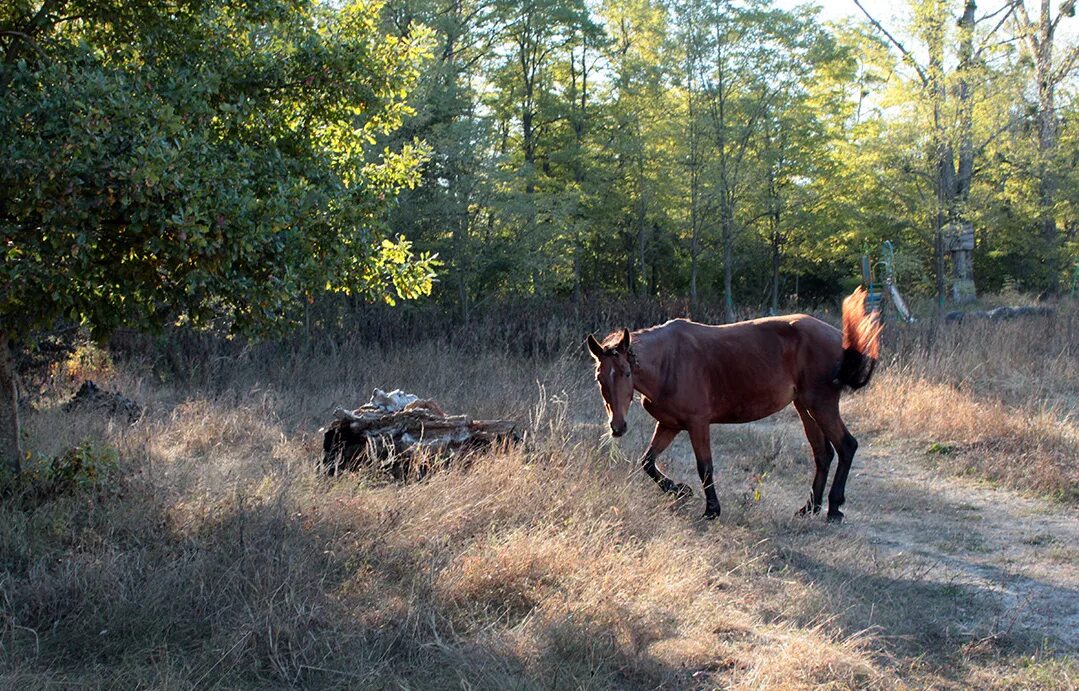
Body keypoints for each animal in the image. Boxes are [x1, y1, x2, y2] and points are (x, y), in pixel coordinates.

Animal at [591, 289, 884, 520]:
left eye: (626, 374)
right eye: (599, 377)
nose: (617, 427)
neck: (669, 363)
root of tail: (838, 337)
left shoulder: (698, 424)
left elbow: (705, 467)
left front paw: (711, 510)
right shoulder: (669, 424)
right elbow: (648, 462)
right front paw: (680, 490)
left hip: (820, 404)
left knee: (846, 446)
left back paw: (834, 508)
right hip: (805, 407)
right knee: (823, 454)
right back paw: (810, 507)